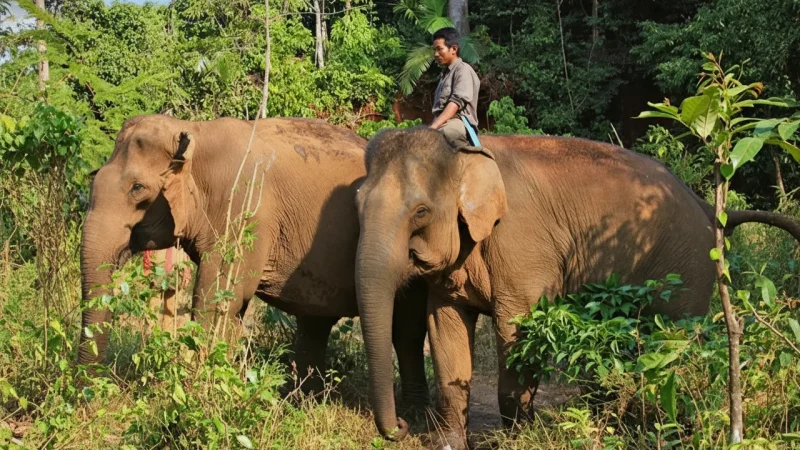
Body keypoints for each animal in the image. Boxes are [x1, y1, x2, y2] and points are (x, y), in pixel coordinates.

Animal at [78, 115, 429, 407]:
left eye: (138, 189)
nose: (89, 399)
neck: (194, 129)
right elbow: (229, 308)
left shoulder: (244, 210)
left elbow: (217, 301)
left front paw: (196, 394)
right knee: (315, 324)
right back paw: (304, 403)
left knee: (406, 331)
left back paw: (412, 411)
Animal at [353, 128, 800, 448]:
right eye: (356, 204)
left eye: (420, 211)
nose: (401, 427)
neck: (464, 151)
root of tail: (710, 207)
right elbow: (445, 329)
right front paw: (448, 444)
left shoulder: (523, 248)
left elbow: (516, 329)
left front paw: (518, 438)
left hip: (686, 267)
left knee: (672, 344)